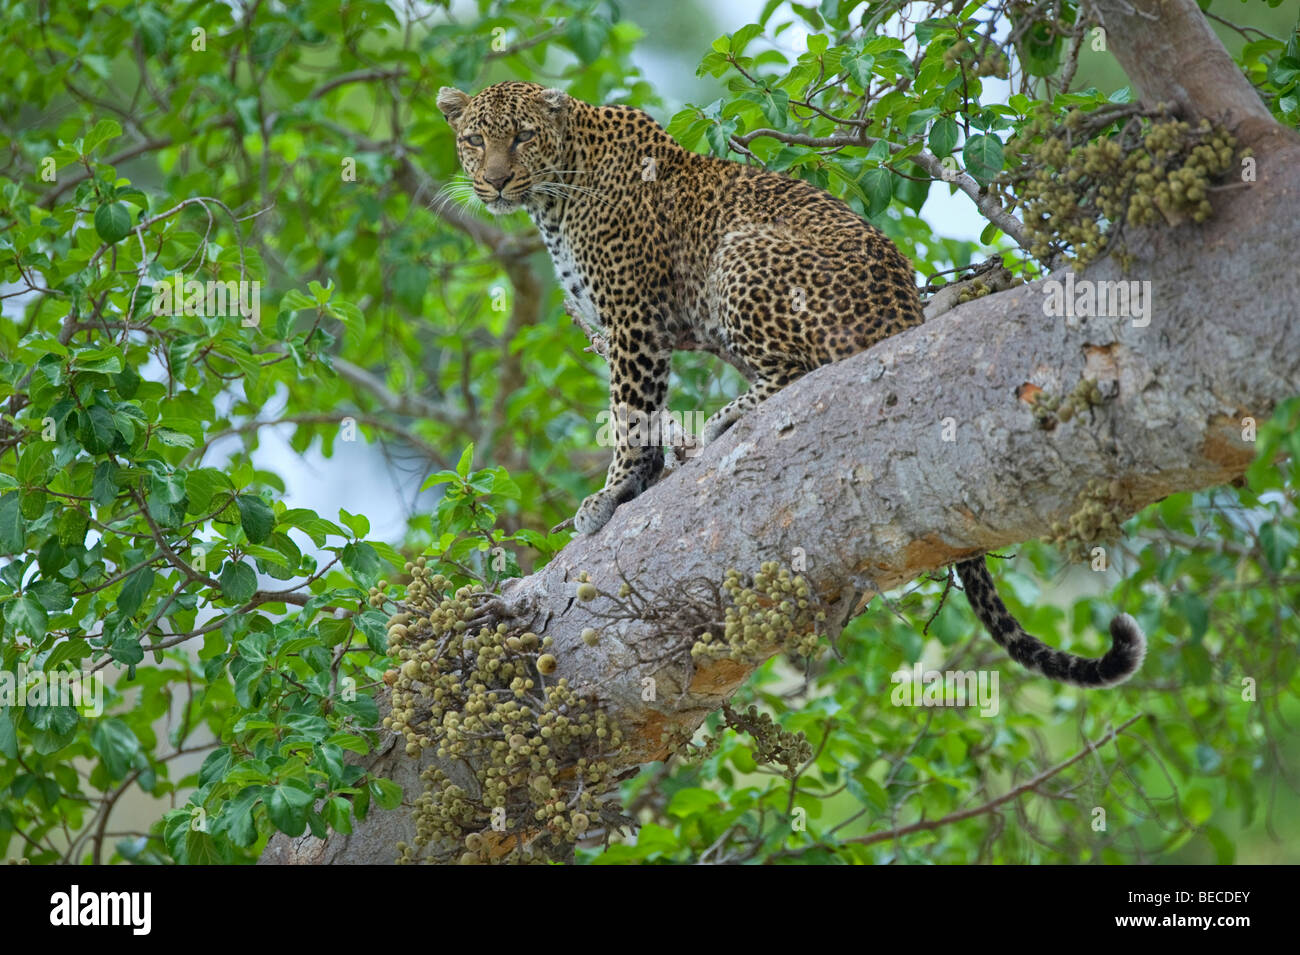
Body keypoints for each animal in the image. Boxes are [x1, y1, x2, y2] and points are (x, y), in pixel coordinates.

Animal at [439, 76, 1149, 686]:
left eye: (523, 136)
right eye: (474, 138)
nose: (495, 181)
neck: (553, 196)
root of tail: (903, 316)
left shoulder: (632, 320)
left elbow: (630, 413)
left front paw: (611, 495)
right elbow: (644, 414)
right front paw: (637, 483)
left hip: (739, 251)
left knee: (806, 368)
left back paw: (726, 417)